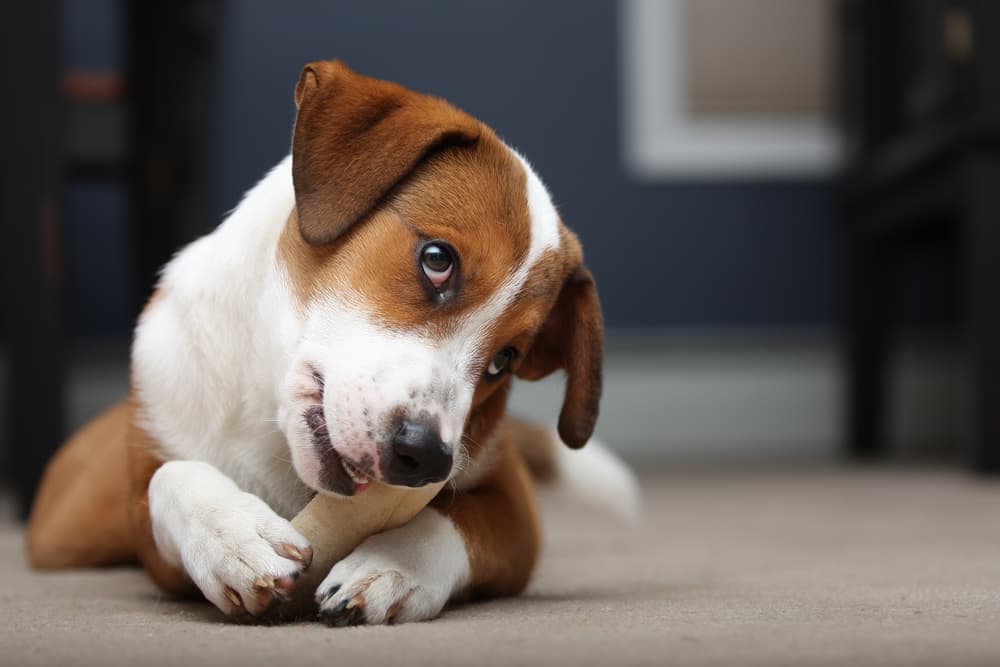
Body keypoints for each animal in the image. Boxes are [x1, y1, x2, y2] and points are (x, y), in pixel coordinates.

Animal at [25, 58, 640, 628]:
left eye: (503, 362)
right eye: (437, 259)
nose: (426, 457)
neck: (271, 431)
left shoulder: (514, 505)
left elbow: (454, 521)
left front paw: (393, 567)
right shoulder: (153, 524)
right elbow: (167, 479)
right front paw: (234, 534)